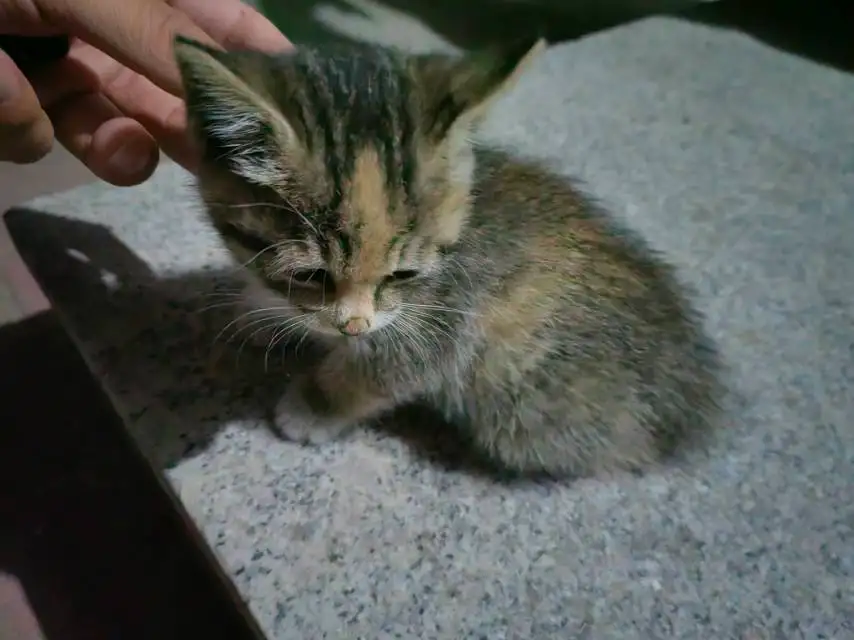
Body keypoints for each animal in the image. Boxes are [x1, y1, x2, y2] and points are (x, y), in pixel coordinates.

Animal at [174, 35, 724, 476]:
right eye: (311, 274)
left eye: (403, 274)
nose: (353, 327)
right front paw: (267, 314)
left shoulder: (443, 321)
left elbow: (380, 370)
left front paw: (313, 406)